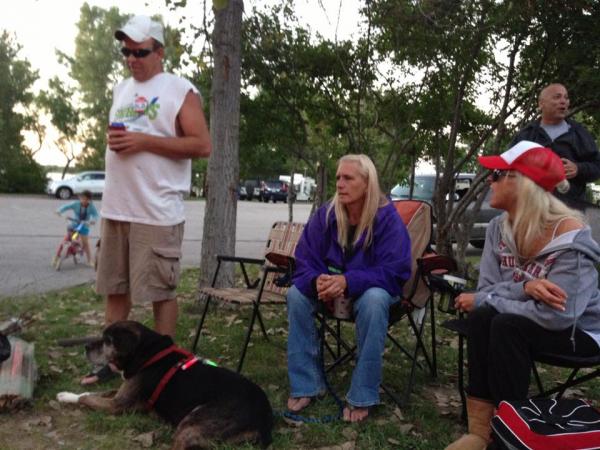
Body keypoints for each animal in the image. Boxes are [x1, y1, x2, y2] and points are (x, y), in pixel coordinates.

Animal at [57, 322, 274, 448]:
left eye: (107, 341)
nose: (85, 347)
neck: (146, 353)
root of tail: (264, 419)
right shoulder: (121, 393)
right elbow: (92, 393)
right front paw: (66, 394)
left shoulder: (118, 404)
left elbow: (87, 398)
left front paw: (66, 396)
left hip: (191, 424)